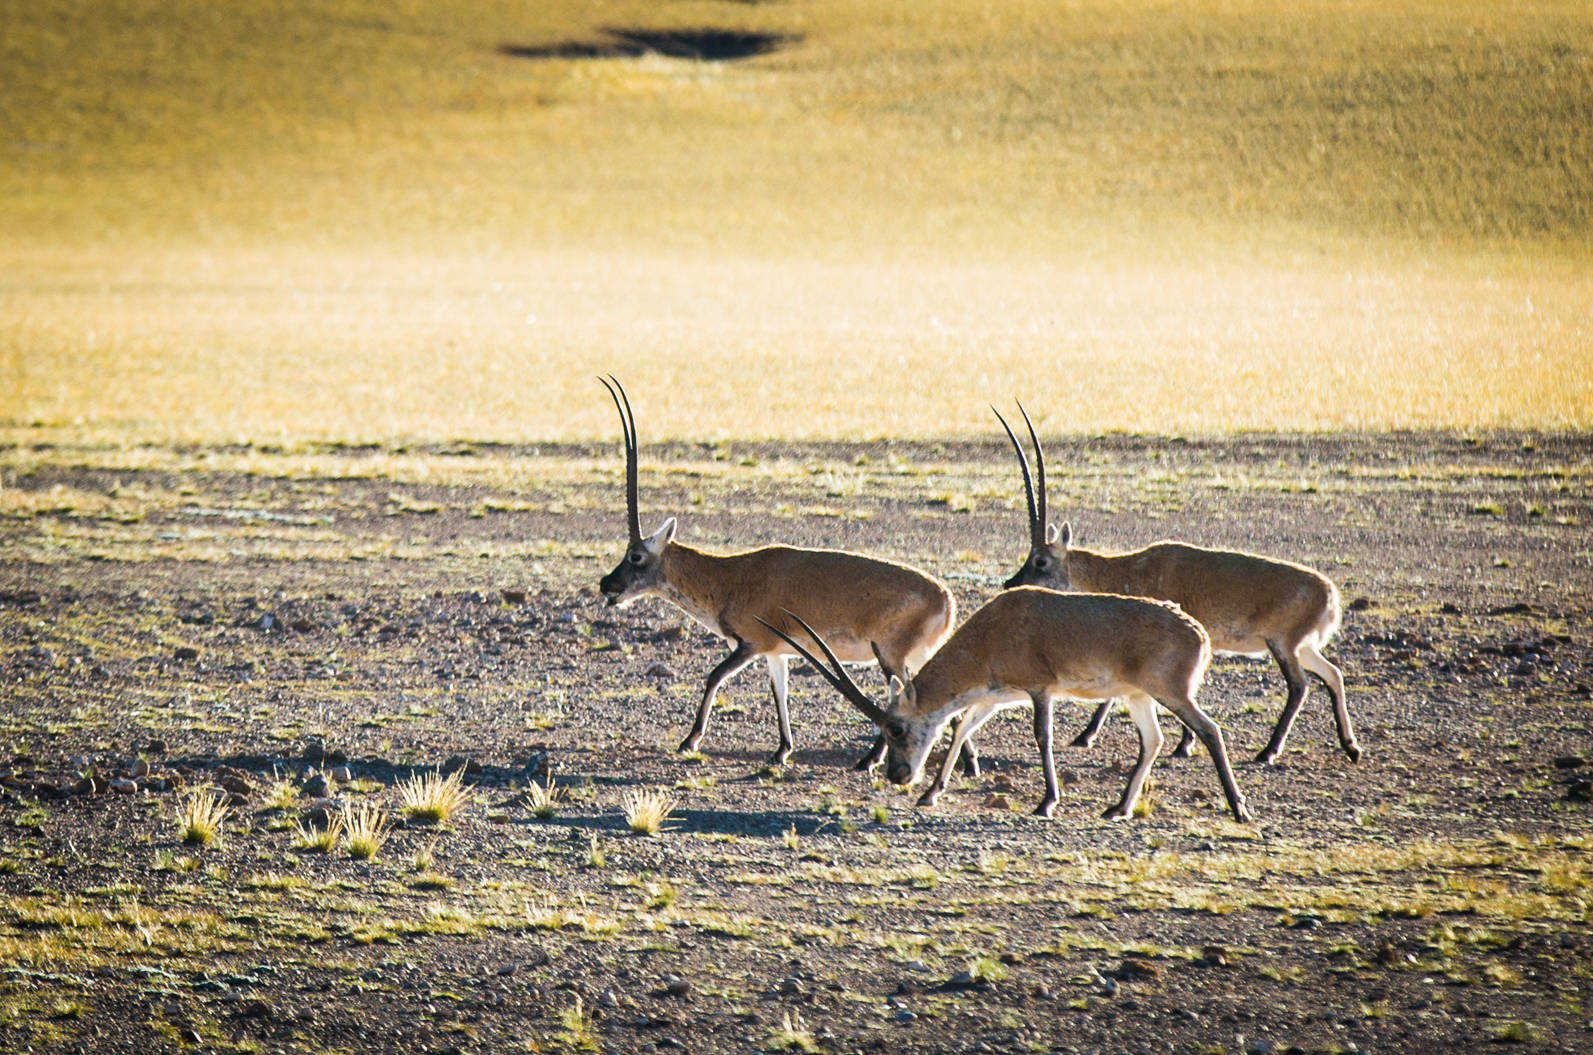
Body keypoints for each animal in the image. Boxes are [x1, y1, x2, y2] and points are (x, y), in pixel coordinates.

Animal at [592, 380, 955, 768]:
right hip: (914, 656)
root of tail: (944, 597)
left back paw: (869, 759)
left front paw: (690, 740)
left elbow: (714, 676)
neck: (730, 576)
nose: (606, 584)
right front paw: (782, 750)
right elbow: (779, 691)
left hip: (890, 656)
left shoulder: (750, 644)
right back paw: (966, 761)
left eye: (635, 556)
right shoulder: (775, 651)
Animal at [758, 596, 1255, 828]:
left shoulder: (1039, 689)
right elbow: (960, 727)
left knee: (1210, 730)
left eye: (896, 727)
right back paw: (1118, 808)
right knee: (1153, 741)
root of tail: (1199, 634)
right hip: (1139, 697)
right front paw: (931, 794)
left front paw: (1047, 801)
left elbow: (1042, 736)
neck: (992, 628)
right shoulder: (992, 696)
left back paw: (1239, 808)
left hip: (1170, 692)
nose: (897, 775)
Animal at [994, 404, 1357, 768]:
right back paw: (1350, 746)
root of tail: (1329, 593)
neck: (1129, 568)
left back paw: (1268, 750)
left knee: (1300, 686)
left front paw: (1172, 743)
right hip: (1303, 647)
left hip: (1282, 645)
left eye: (1040, 561)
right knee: (1333, 674)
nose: (1010, 584)